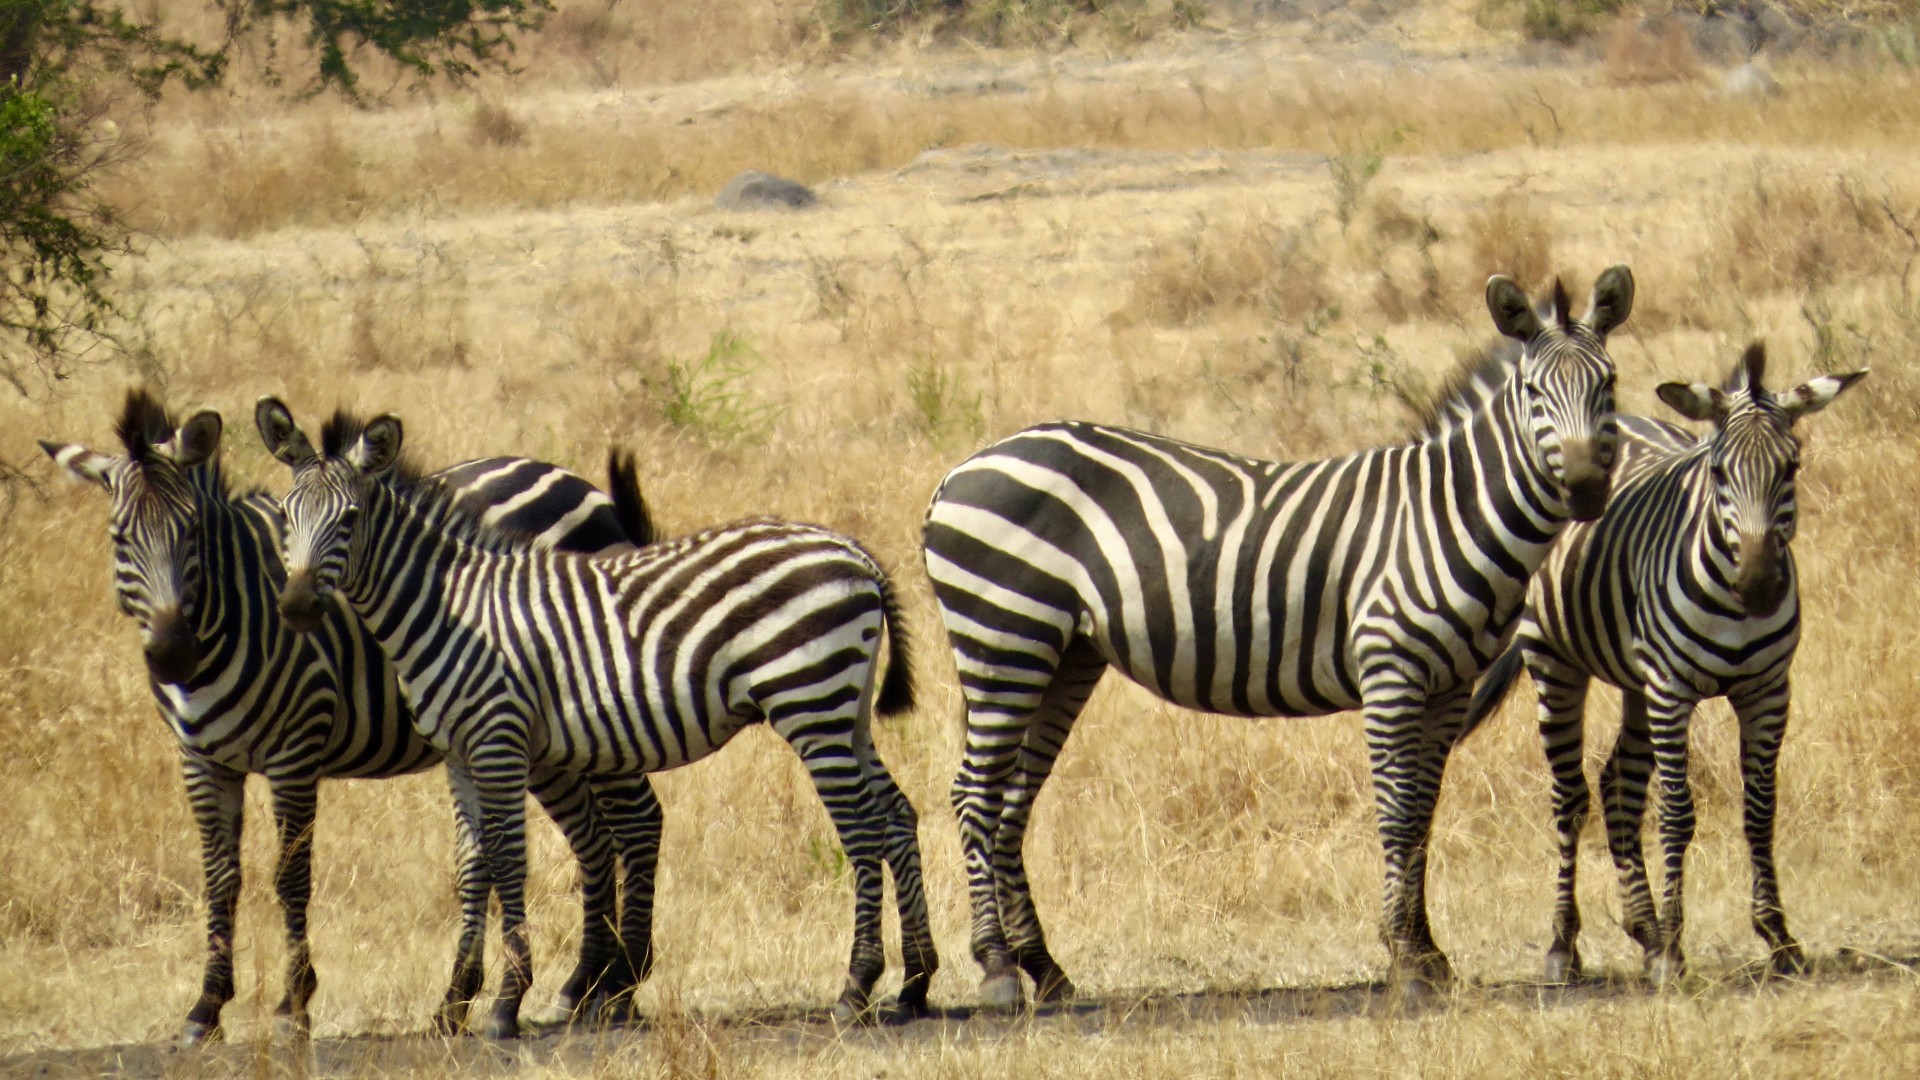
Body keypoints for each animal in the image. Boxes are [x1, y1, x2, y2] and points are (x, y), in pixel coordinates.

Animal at [41, 390, 660, 1043]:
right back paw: (582, 986)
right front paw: (205, 1007)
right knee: (593, 836)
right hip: (545, 738)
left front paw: (292, 1005)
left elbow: (290, 875)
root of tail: (575, 481)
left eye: (191, 535)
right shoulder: (201, 761)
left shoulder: (295, 748)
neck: (233, 610)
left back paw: (621, 987)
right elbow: (220, 877)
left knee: (637, 821)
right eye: (120, 538)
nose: (171, 654)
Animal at [253, 398, 936, 1039]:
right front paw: (452, 1005)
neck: (449, 606)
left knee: (861, 828)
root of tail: (857, 554)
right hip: (846, 708)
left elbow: (508, 859)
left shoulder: (499, 740)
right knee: (897, 813)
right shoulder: (460, 754)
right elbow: (472, 868)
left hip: (810, 702)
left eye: (350, 519)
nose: (296, 607)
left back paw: (856, 985)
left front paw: (506, 1002)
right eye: (286, 515)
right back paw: (915, 982)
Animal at [922, 267, 1636, 1006]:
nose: (1588, 489)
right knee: (975, 795)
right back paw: (998, 969)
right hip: (1005, 634)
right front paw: (1406, 959)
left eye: (1609, 384)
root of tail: (963, 469)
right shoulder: (1391, 671)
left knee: (1012, 800)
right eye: (1533, 393)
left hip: (1063, 655)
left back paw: (1045, 967)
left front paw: (1426, 953)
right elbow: (1398, 811)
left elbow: (1424, 816)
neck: (1449, 514)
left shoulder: (1448, 687)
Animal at [1456, 342, 1865, 985]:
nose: (1759, 586)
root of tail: (1616, 417)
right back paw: (1565, 945)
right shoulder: (1673, 689)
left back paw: (1642, 929)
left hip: (1635, 680)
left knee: (1619, 781)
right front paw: (1675, 948)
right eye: (1718, 471)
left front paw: (1778, 937)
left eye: (1792, 467)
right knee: (1570, 797)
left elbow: (1760, 810)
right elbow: (1677, 813)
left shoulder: (1769, 691)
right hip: (1557, 663)